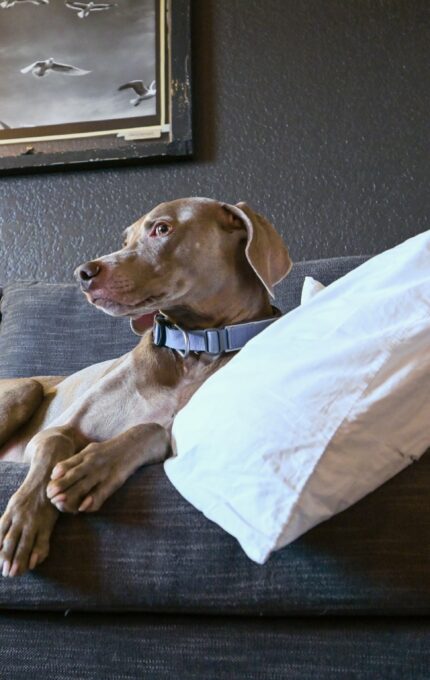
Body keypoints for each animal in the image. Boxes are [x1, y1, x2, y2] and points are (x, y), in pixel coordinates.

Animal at [0, 199, 292, 576]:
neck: (191, 350)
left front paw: (90, 470)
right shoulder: (57, 428)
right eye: (125, 240)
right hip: (25, 389)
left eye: (162, 229)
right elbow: (53, 445)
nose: (83, 273)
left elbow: (152, 430)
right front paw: (22, 524)